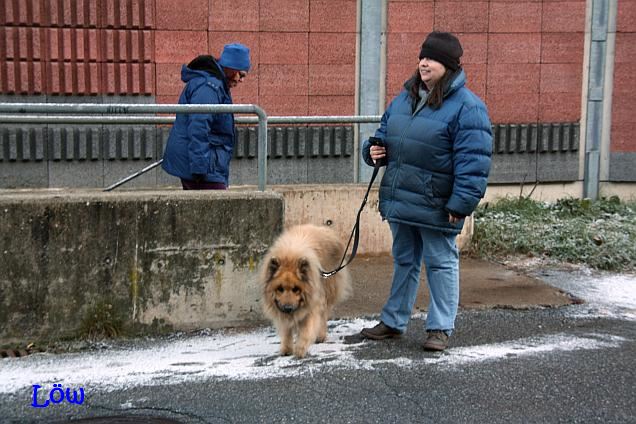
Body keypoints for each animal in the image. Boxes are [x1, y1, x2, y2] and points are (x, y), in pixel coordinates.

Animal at [260, 224, 356, 360]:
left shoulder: (312, 305)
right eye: (280, 289)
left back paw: (320, 336)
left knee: (323, 316)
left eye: (296, 289)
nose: (288, 308)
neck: (290, 257)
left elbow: (306, 330)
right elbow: (286, 331)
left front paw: (300, 349)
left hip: (327, 292)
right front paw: (286, 348)